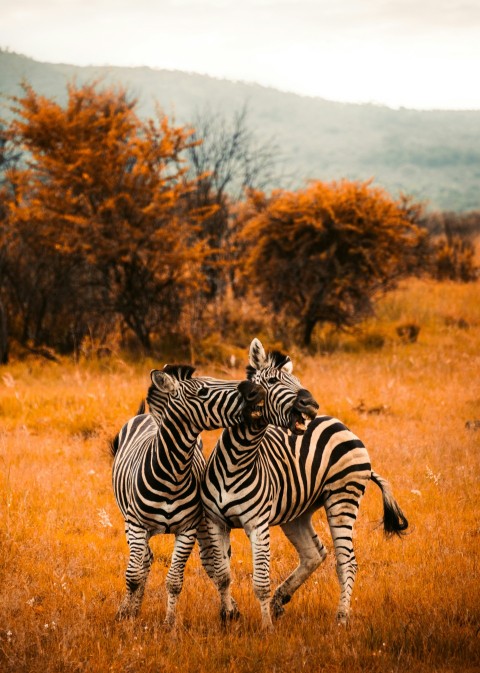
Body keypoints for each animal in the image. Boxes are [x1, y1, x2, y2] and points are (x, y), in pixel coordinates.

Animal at [111, 364, 264, 627]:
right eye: (202, 392)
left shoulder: (188, 529)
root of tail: (147, 415)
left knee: (210, 562)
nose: (254, 391)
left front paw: (170, 623)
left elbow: (174, 581)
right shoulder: (136, 525)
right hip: (130, 523)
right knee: (143, 561)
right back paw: (133, 608)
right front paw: (125, 617)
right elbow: (132, 576)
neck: (173, 472)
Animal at [201, 338, 408, 629]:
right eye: (273, 380)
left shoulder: (258, 524)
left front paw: (266, 629)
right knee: (315, 553)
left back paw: (341, 618)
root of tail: (341, 424)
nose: (311, 404)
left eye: (297, 380)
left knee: (346, 562)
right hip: (297, 512)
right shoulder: (215, 521)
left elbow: (260, 582)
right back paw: (280, 600)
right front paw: (228, 618)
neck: (237, 460)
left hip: (342, 499)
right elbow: (222, 575)